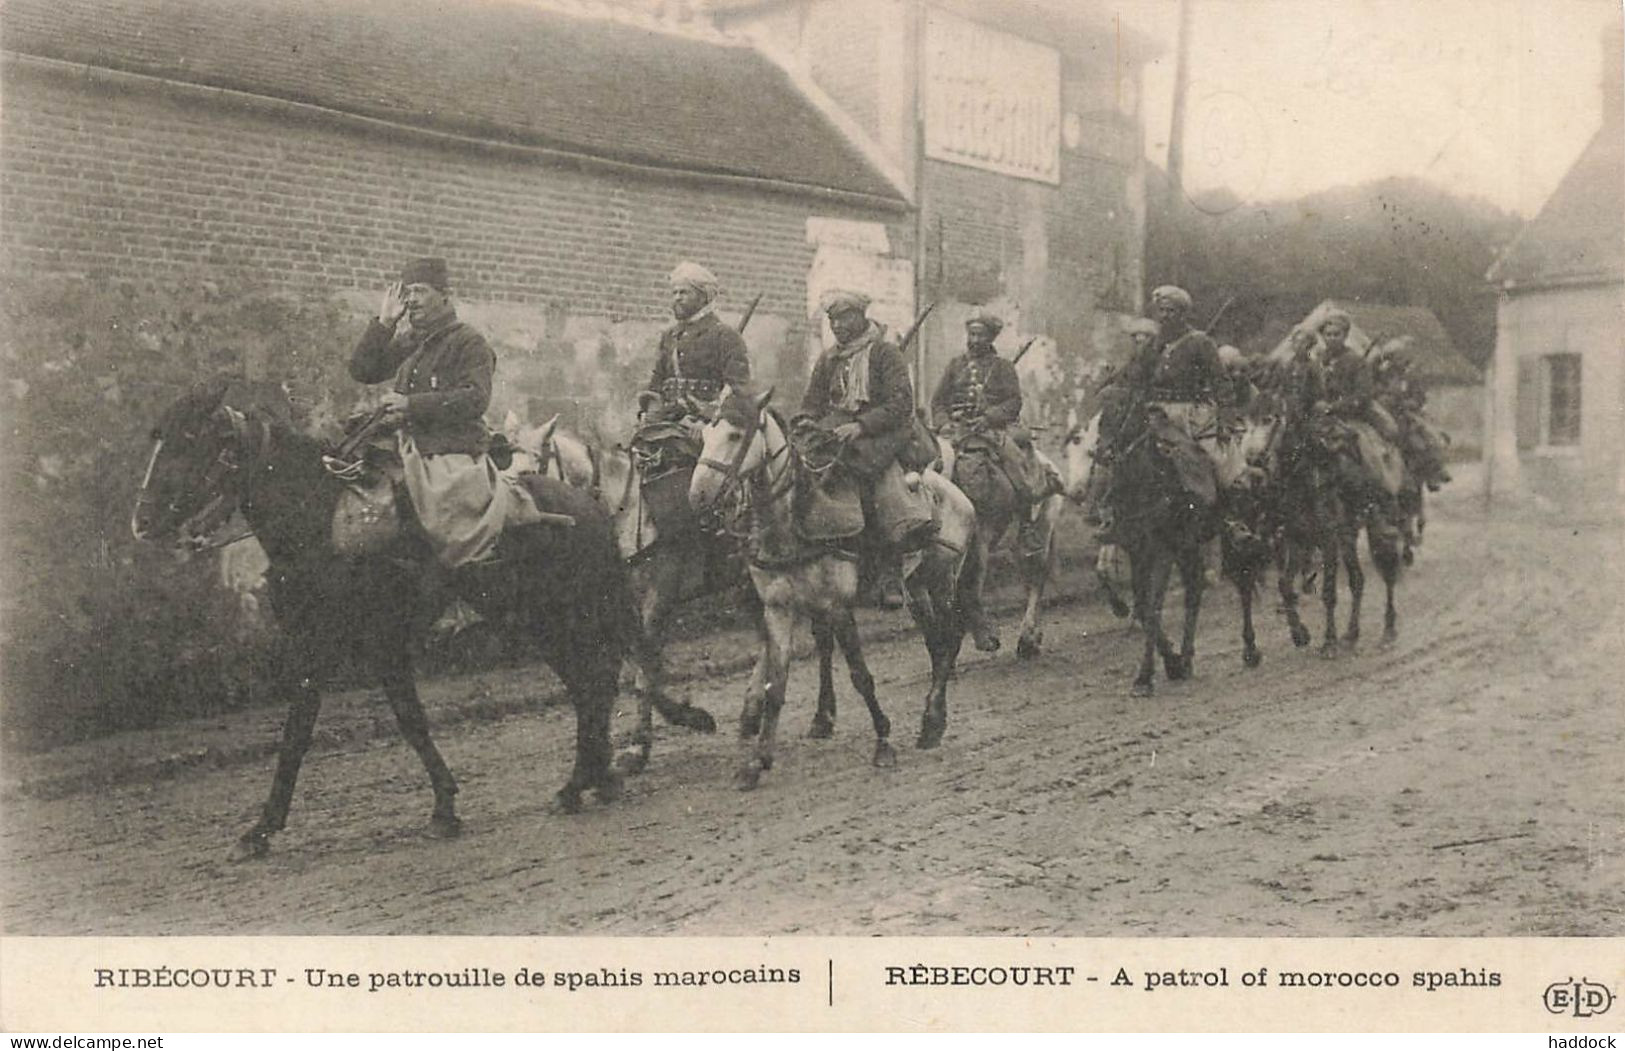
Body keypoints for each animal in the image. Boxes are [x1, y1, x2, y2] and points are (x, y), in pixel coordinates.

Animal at [131, 381, 633, 857]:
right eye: (158, 438)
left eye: (188, 439)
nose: (142, 521)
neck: (321, 524)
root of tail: (589, 505)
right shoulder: (317, 649)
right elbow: (313, 731)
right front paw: (263, 828)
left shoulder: (371, 645)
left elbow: (384, 724)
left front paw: (442, 807)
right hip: (540, 624)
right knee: (587, 685)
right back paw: (592, 780)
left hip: (561, 619)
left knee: (595, 682)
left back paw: (583, 781)